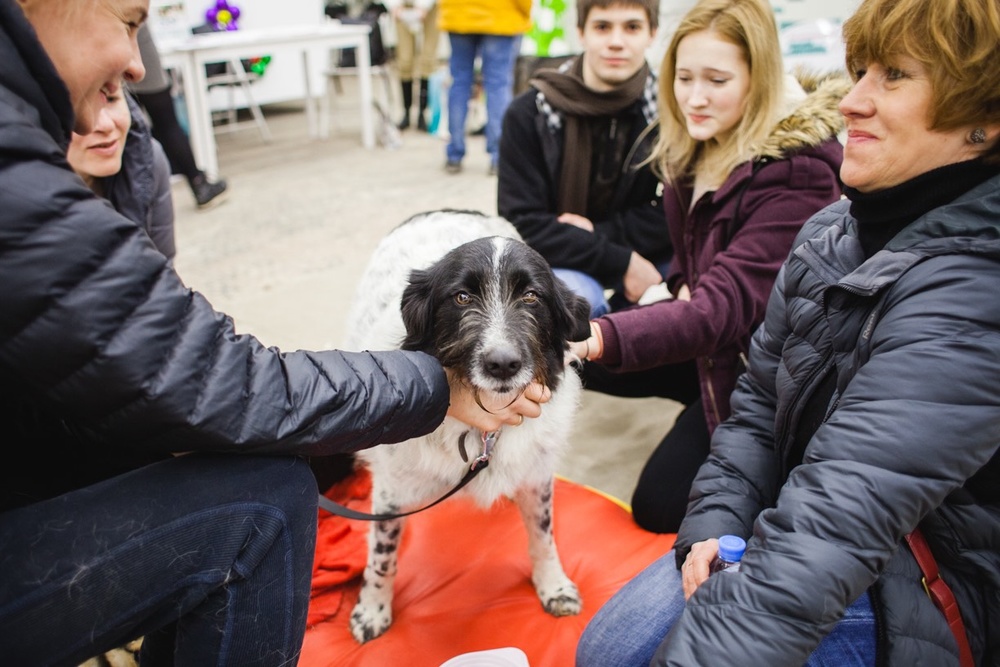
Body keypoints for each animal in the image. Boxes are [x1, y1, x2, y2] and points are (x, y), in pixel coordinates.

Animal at [344, 209, 592, 640]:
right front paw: (372, 610)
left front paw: (553, 586)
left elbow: (543, 534)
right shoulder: (390, 492)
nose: (503, 364)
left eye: (531, 296)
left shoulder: (536, 473)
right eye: (462, 297)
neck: (485, 425)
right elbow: (382, 556)